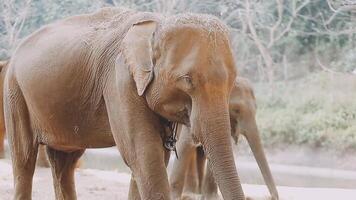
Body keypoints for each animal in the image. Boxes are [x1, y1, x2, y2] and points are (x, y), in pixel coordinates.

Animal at [3, 7, 245, 199]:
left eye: (233, 81)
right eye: (187, 80)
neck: (157, 24)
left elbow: (155, 158)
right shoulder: (120, 79)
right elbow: (145, 157)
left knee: (65, 163)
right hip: (14, 92)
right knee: (24, 159)